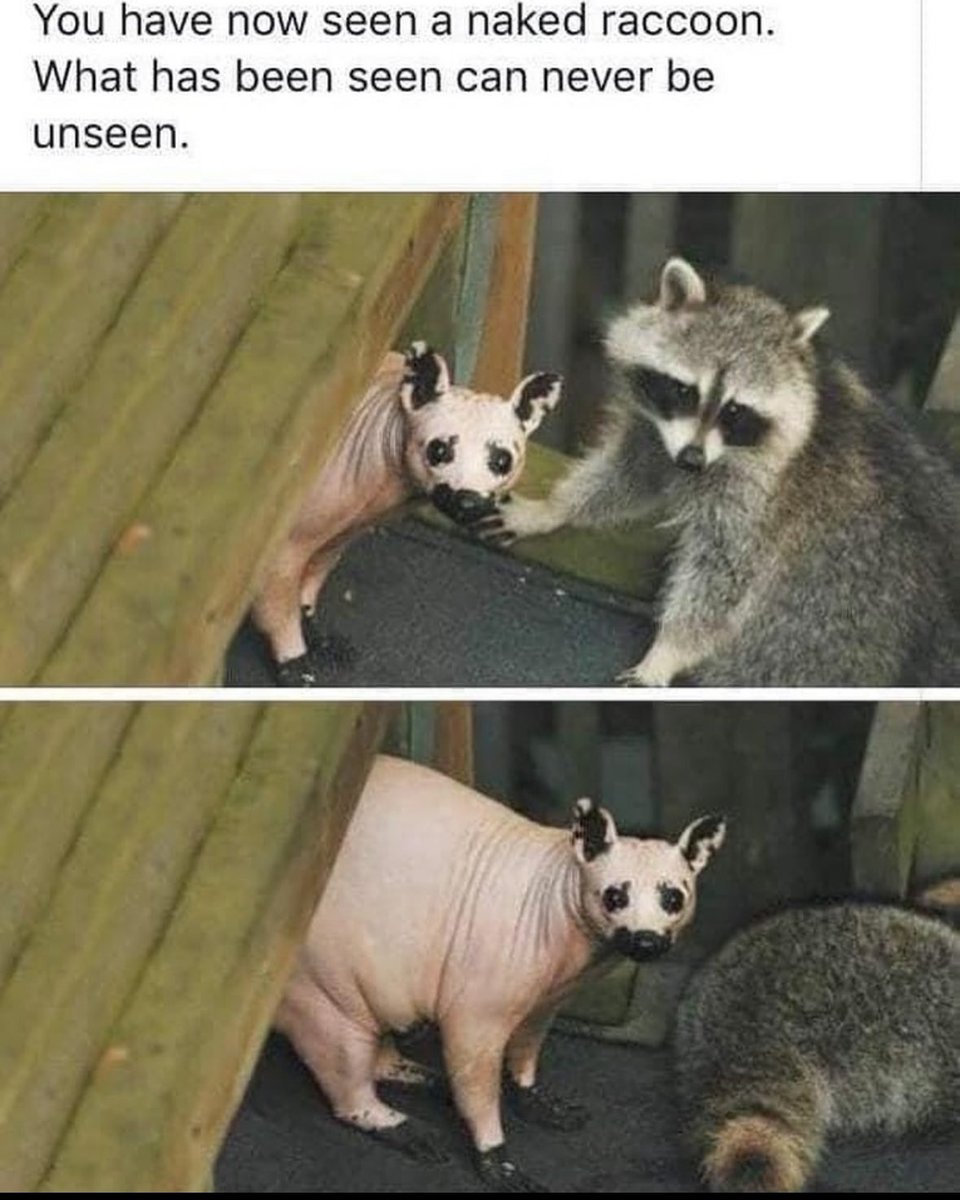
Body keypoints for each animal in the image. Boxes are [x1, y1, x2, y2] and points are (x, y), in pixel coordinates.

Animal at [474, 258, 960, 686]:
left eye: (735, 411)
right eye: (685, 391)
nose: (691, 460)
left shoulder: (760, 493)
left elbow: (723, 572)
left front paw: (667, 651)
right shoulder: (655, 433)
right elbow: (628, 476)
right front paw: (552, 509)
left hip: (831, 627)